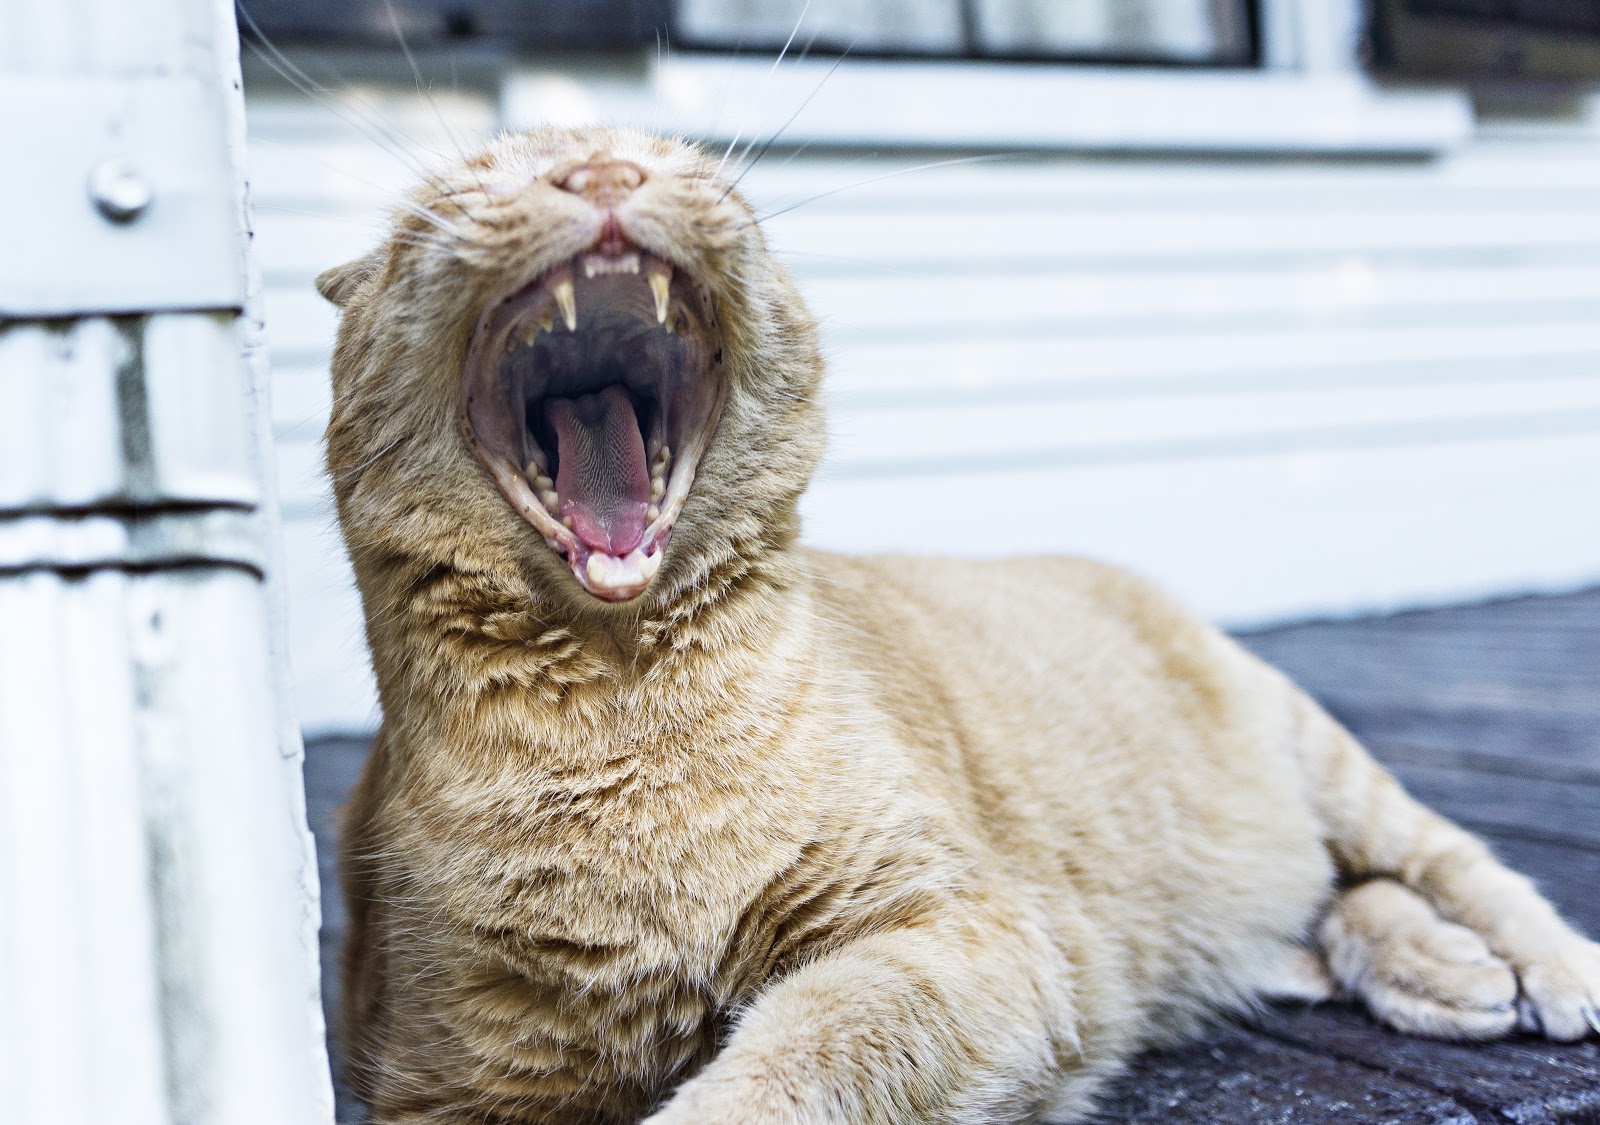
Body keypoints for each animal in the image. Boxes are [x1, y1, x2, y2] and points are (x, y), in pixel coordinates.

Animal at [315, 125, 1600, 1125]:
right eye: (471, 178)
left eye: (686, 165)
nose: (601, 170)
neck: (624, 716)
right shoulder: (459, 1080)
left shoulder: (961, 938)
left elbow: (782, 1068)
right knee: (1333, 897)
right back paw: (1431, 970)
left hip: (1324, 760)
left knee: (1444, 861)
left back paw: (1535, 968)